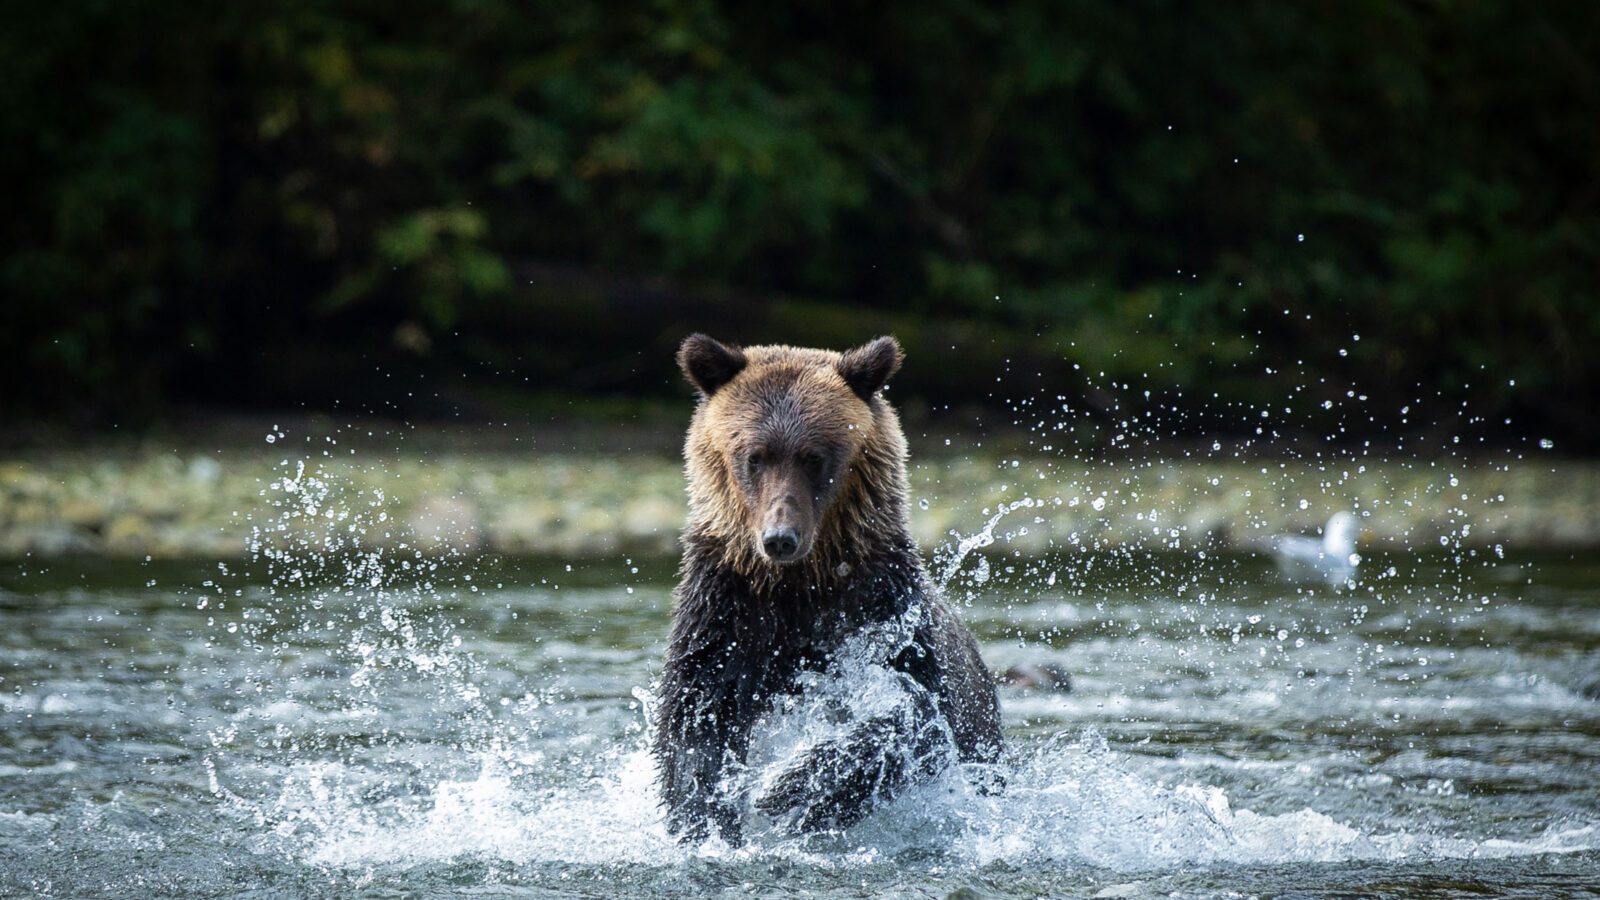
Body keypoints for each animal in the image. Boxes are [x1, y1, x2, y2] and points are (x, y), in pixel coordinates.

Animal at [653, 333, 1002, 844]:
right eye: (753, 456)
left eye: (814, 458)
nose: (780, 538)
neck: (798, 584)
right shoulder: (724, 612)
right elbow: (695, 719)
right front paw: (705, 817)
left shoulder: (882, 609)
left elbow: (918, 714)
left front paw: (797, 787)